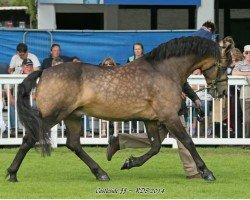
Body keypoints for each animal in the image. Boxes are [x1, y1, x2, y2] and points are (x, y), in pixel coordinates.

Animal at [7, 36, 230, 181]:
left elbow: (155, 147)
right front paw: (207, 172)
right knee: (30, 138)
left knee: (74, 144)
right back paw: (12, 173)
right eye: (223, 65)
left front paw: (129, 162)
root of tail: (44, 72)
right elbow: (188, 141)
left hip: (72, 116)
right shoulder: (169, 117)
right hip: (53, 115)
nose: (222, 91)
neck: (164, 70)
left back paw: (101, 173)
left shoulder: (151, 119)